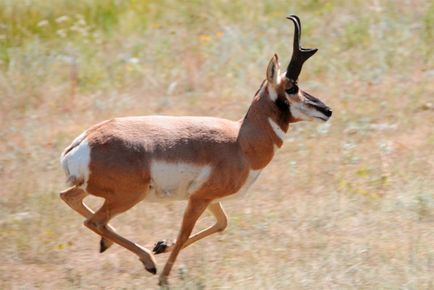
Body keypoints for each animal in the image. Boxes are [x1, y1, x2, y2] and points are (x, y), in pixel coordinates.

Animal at [59, 14, 332, 284]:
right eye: (291, 87)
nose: (327, 110)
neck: (240, 140)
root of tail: (85, 140)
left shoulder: (211, 199)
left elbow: (222, 224)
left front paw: (161, 245)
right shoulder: (198, 199)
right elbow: (184, 233)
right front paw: (164, 279)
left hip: (101, 192)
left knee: (71, 199)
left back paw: (123, 249)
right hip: (128, 196)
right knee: (94, 220)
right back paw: (148, 262)